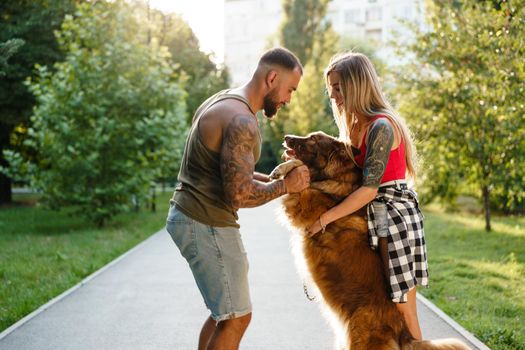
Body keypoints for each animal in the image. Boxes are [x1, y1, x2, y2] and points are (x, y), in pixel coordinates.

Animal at [274, 131, 470, 350]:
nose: (287, 137)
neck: (339, 181)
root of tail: (402, 329)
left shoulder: (304, 204)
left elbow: (302, 173)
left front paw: (281, 169)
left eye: (314, 139)